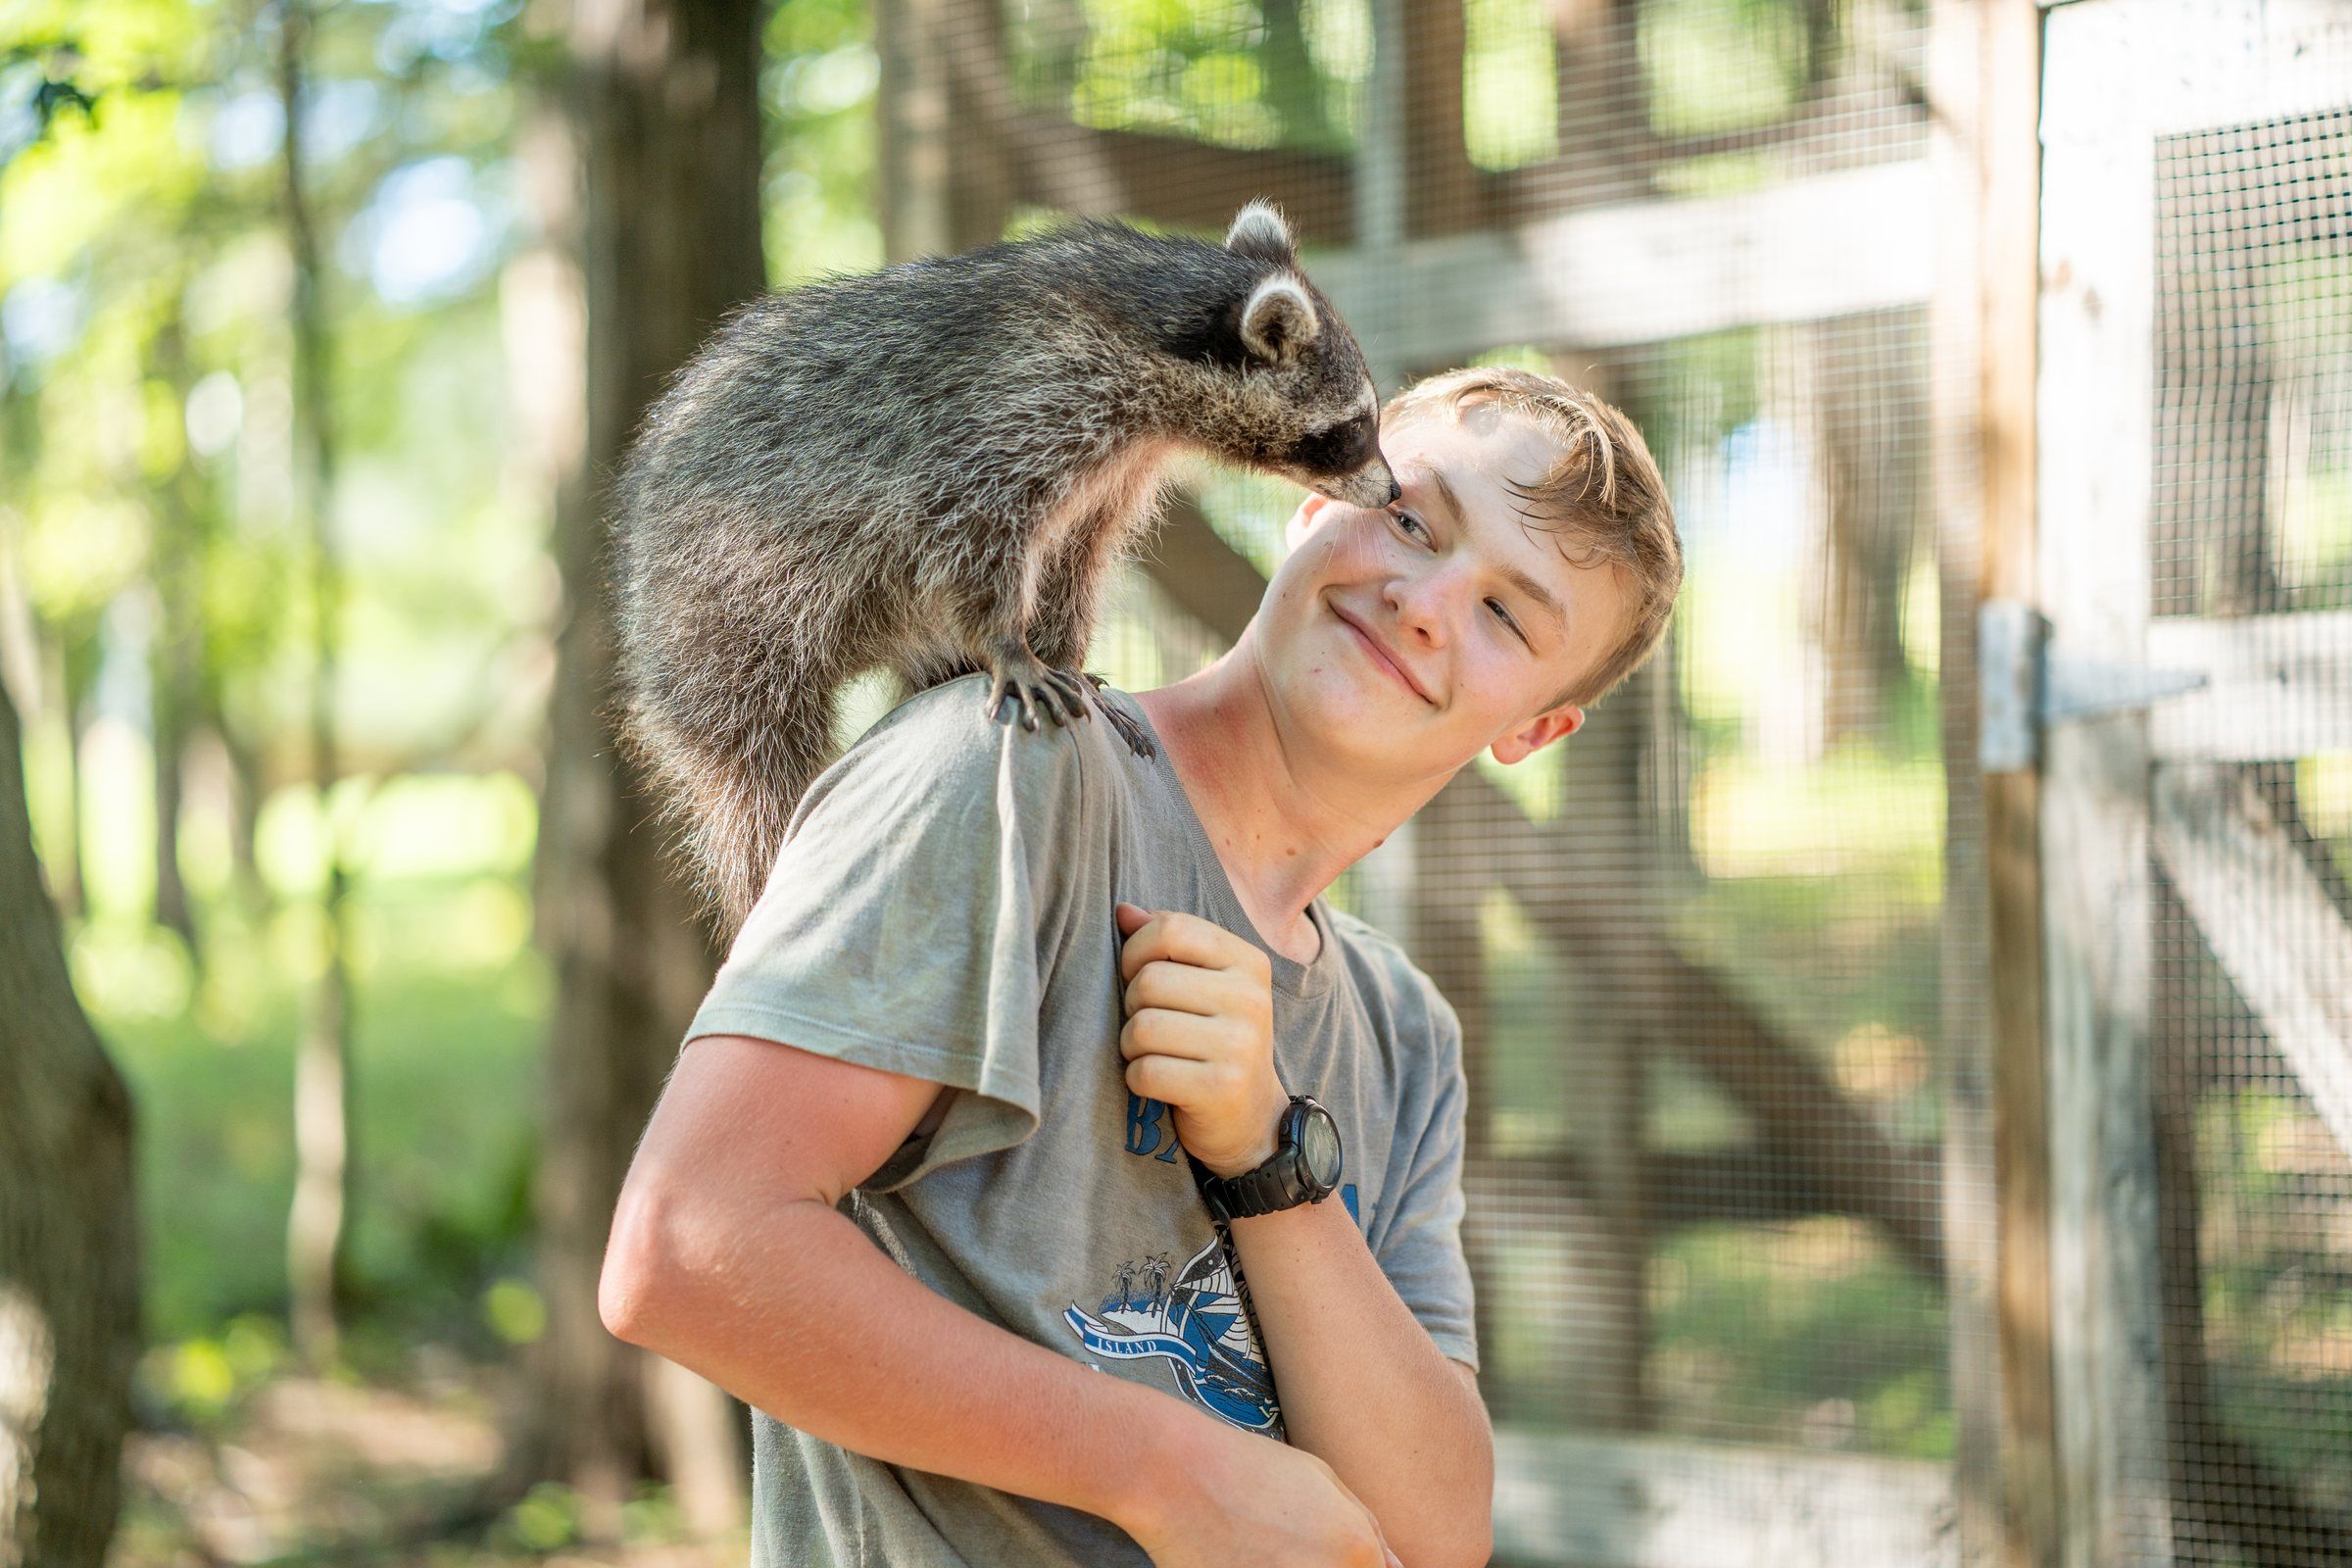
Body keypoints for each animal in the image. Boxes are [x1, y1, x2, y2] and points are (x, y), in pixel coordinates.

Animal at [611, 201, 1397, 933]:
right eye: (1355, 429)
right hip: (719, 607)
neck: (1149, 320)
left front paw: (1062, 649)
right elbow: (970, 529)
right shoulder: (1017, 405)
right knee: (755, 774)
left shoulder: (1112, 464)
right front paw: (1008, 642)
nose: (1392, 493)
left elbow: (1075, 554)